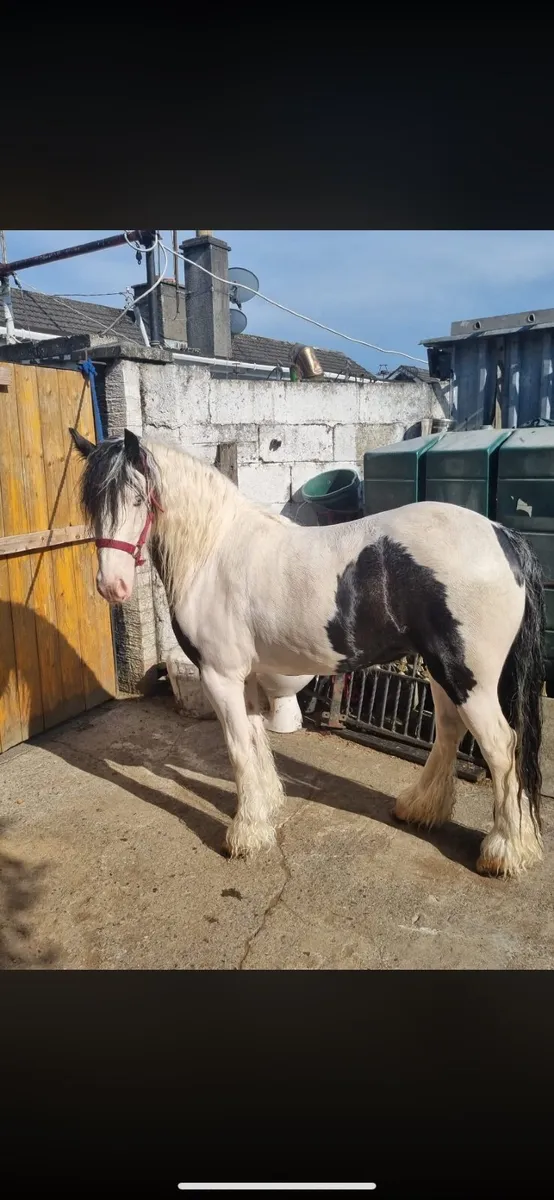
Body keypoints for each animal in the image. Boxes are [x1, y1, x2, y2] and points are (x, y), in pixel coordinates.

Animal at [69, 426, 546, 879]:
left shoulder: (220, 676)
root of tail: (503, 537)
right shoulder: (246, 677)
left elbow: (238, 749)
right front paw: (265, 810)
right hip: (440, 669)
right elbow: (256, 741)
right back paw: (420, 809)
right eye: (92, 504)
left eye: (136, 498)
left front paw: (244, 835)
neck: (214, 552)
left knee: (501, 746)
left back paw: (504, 851)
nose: (111, 586)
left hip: (467, 677)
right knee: (448, 731)